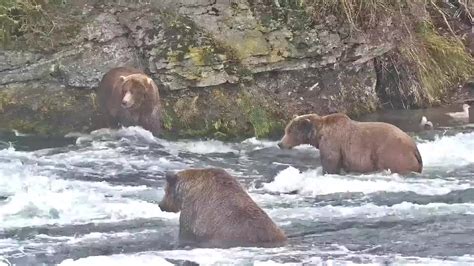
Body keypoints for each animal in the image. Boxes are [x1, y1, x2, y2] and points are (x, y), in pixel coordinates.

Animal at [276, 114, 424, 175]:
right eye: (286, 130)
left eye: (289, 131)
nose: (280, 143)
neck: (319, 134)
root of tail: (414, 148)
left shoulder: (332, 143)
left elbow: (330, 162)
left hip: (393, 154)